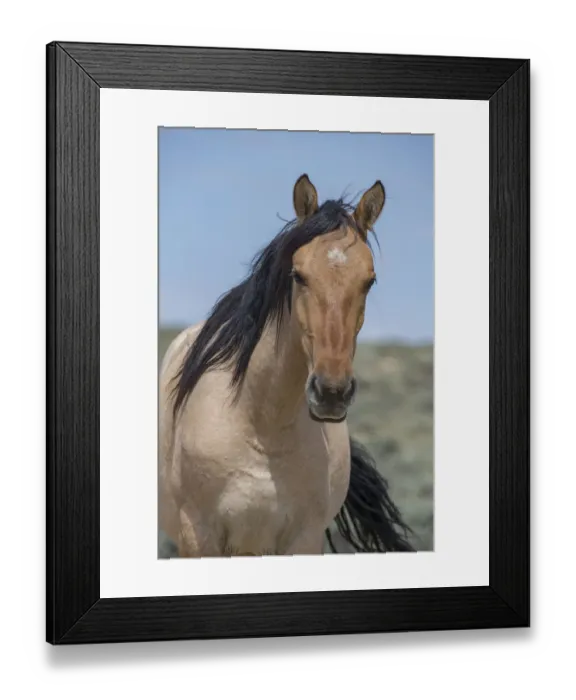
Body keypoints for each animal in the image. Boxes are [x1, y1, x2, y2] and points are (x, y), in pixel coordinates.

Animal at [158, 174, 414, 557]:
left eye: (369, 281)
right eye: (298, 275)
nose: (331, 392)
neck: (263, 427)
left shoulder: (304, 539)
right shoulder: (198, 536)